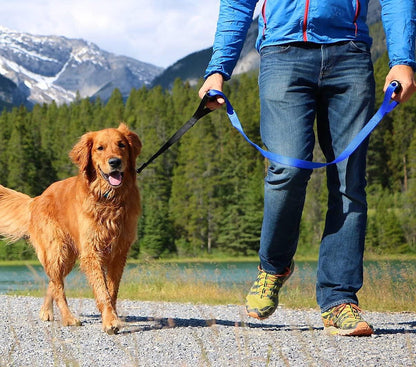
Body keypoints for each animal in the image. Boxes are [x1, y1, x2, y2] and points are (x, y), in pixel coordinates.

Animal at [0, 124, 141, 336]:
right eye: (100, 148)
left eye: (121, 145)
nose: (115, 162)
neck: (108, 199)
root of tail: (37, 199)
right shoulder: (91, 252)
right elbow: (102, 290)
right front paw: (110, 321)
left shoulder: (119, 252)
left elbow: (112, 289)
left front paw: (112, 316)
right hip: (57, 250)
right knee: (58, 286)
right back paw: (68, 318)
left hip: (68, 256)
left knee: (53, 281)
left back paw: (46, 311)